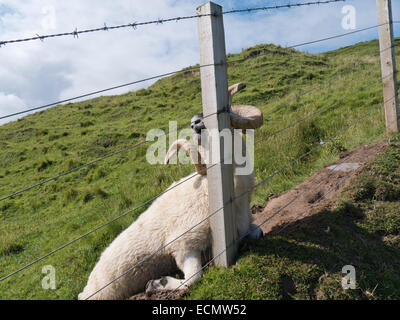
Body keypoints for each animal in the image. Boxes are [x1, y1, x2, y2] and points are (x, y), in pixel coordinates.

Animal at [77, 82, 262, 300]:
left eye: (225, 108)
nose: (195, 122)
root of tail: (85, 289)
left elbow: (257, 232)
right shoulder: (183, 244)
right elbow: (194, 278)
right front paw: (158, 283)